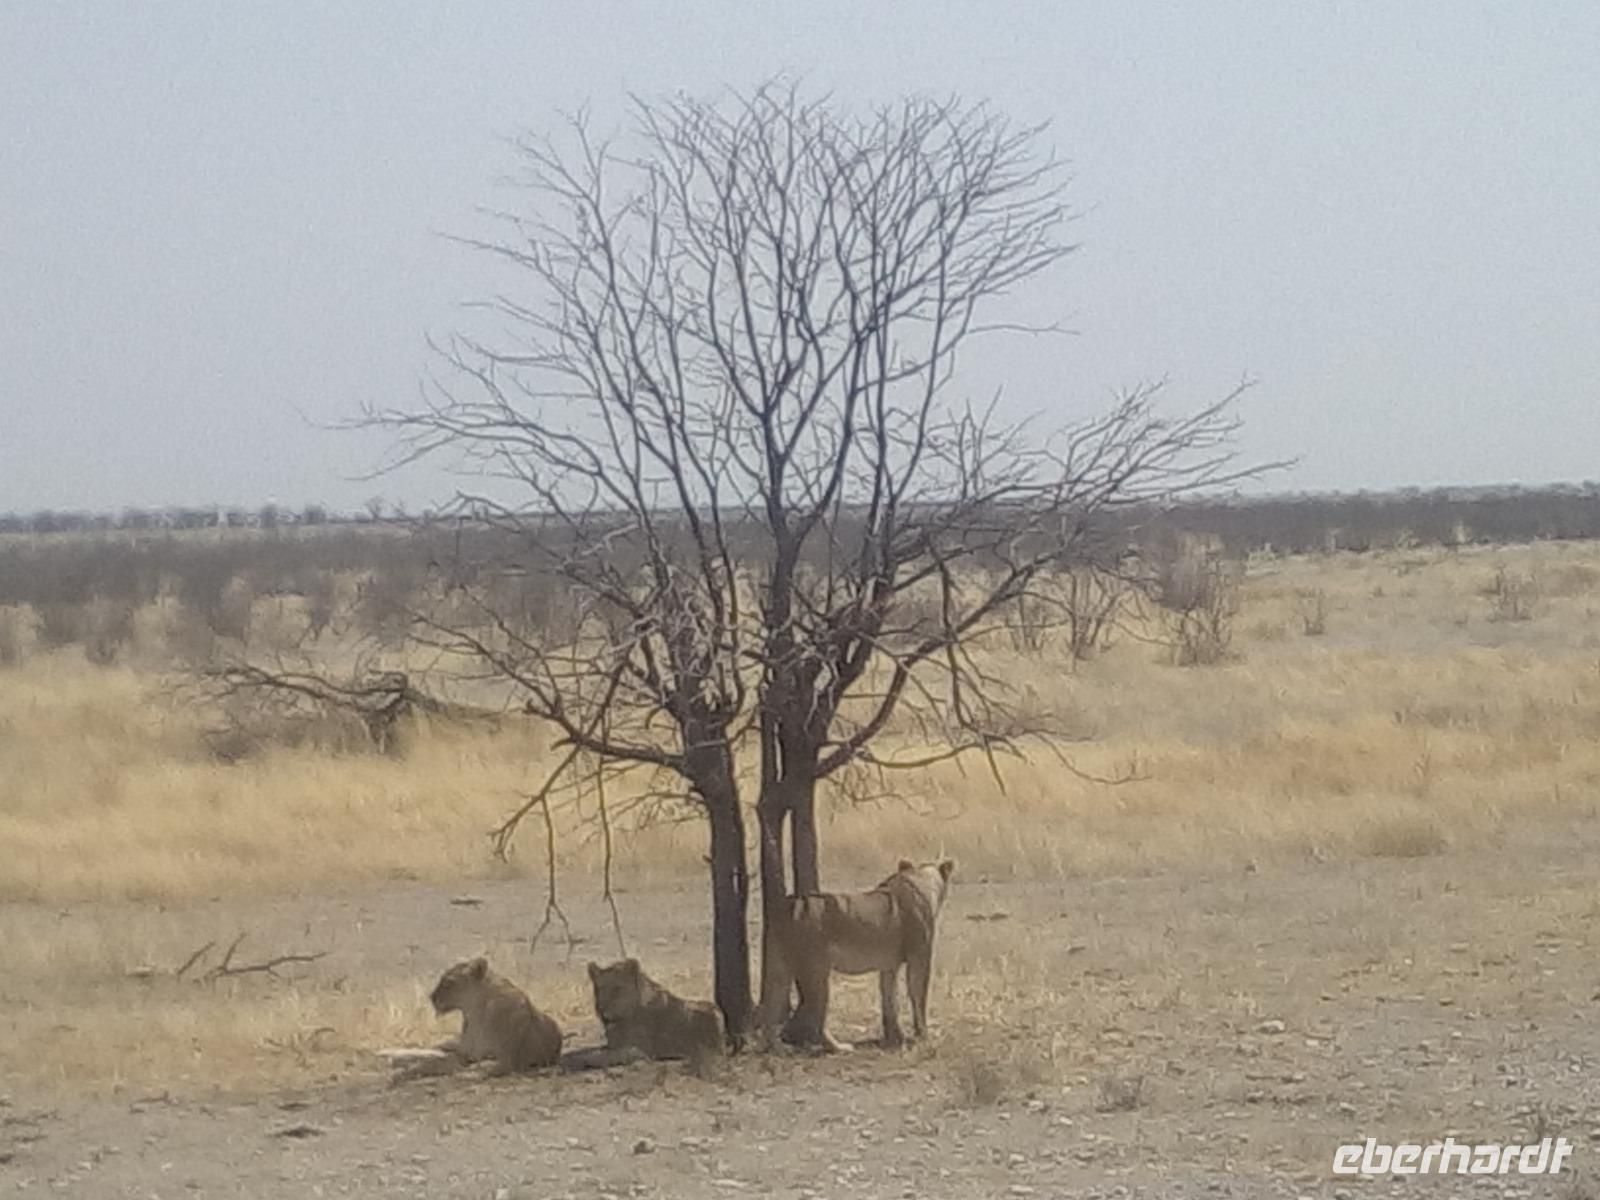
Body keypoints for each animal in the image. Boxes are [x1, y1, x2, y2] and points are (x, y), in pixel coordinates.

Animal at [425, 956, 563, 1074]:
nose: (431, 997)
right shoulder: (468, 1047)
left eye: (449, 982)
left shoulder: (508, 1061)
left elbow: (479, 1067)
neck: (474, 1010)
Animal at [759, 857, 955, 1053]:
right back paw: (839, 1047)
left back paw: (777, 1048)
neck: (919, 880)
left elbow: (890, 999)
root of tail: (795, 901)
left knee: (770, 1008)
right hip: (816, 969)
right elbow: (919, 997)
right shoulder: (920, 957)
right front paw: (923, 1035)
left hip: (778, 965)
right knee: (815, 1015)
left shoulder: (889, 966)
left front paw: (895, 1037)